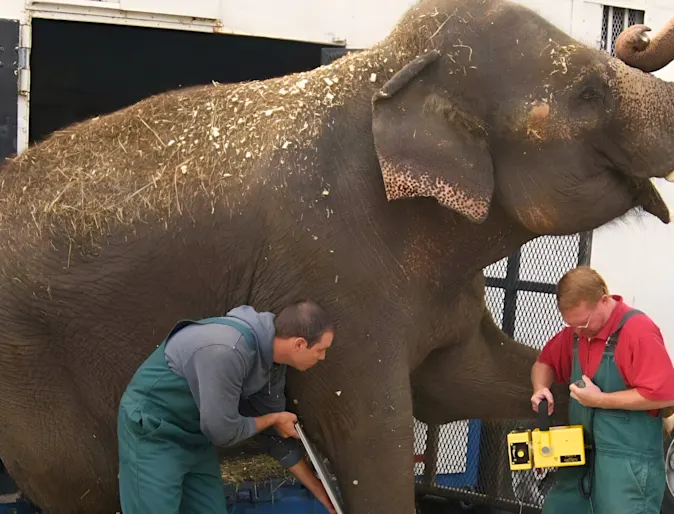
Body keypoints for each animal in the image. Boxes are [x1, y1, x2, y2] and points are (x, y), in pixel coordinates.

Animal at [1, 0, 674, 512]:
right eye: (588, 92)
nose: (637, 34)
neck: (381, 71)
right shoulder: (334, 270)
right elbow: (373, 432)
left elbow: (465, 377)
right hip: (30, 370)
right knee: (84, 484)